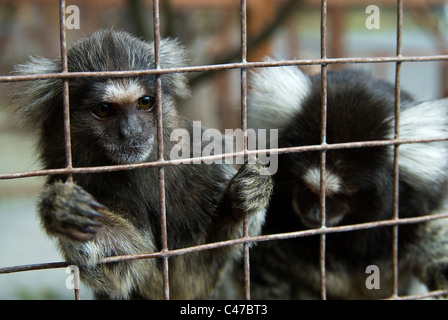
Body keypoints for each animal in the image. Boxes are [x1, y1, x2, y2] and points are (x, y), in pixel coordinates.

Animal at [7, 30, 272, 300]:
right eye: (104, 109)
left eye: (145, 102)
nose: (132, 132)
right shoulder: (85, 184)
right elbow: (124, 262)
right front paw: (62, 210)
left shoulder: (205, 158)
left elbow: (206, 262)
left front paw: (243, 196)